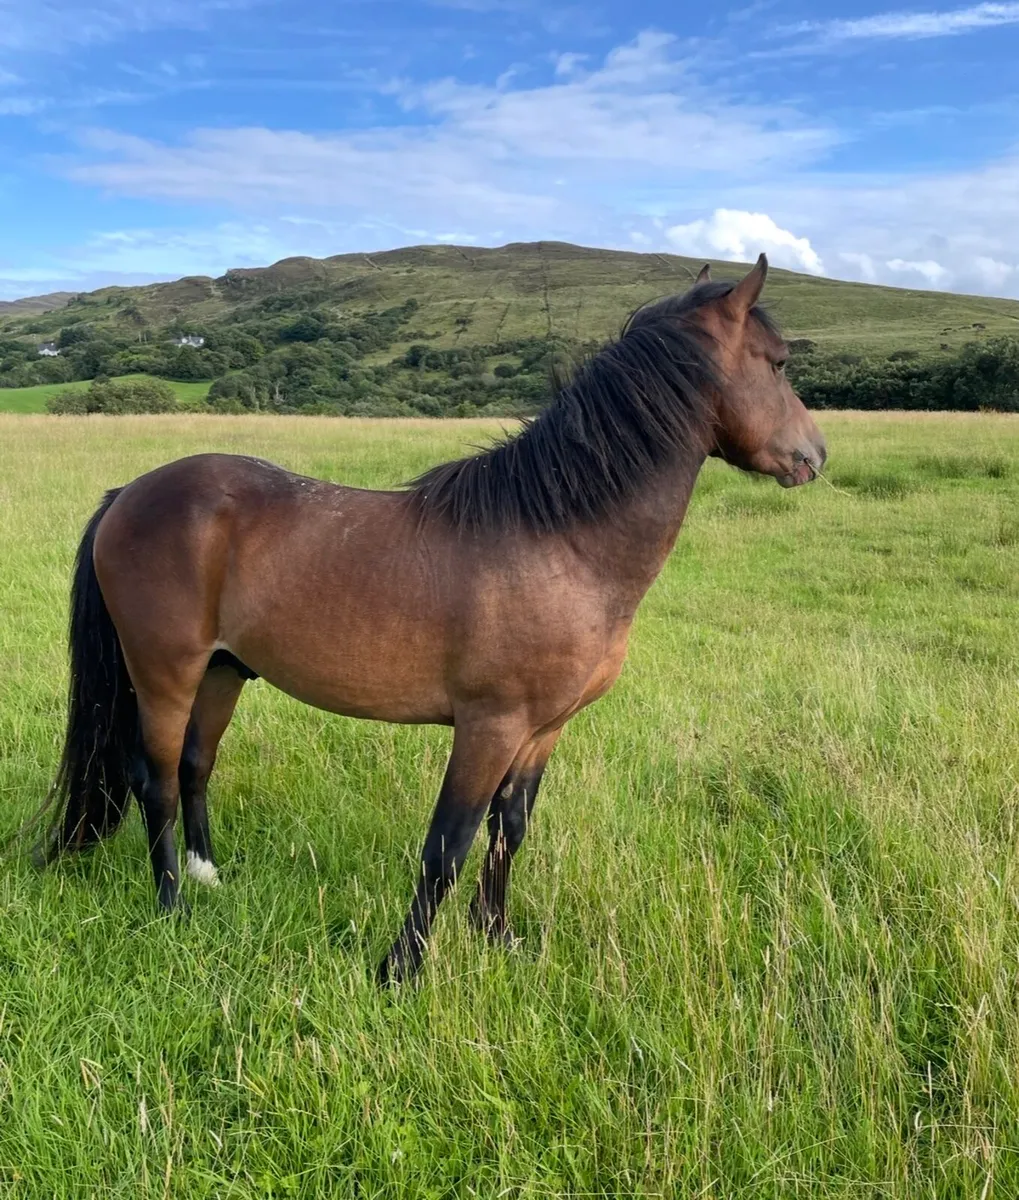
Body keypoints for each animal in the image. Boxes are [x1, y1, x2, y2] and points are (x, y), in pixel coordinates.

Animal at [38, 253, 826, 984]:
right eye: (779, 362)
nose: (814, 456)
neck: (560, 540)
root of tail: (128, 494)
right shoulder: (488, 727)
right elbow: (448, 844)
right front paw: (400, 969)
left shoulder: (542, 729)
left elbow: (511, 830)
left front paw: (498, 937)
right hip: (164, 674)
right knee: (157, 780)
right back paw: (171, 905)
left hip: (225, 671)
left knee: (197, 764)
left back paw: (207, 878)